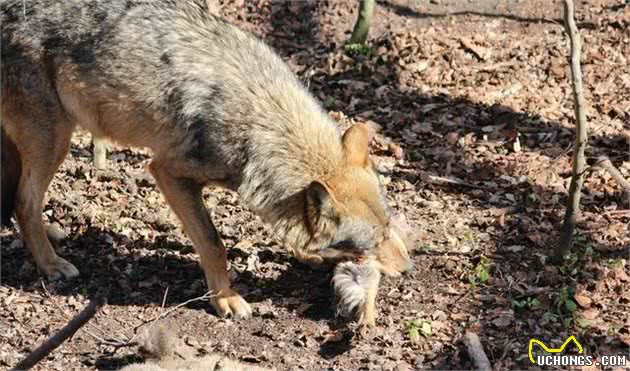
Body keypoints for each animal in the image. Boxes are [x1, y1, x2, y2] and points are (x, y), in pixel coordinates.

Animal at [1, 0, 414, 324]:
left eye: (388, 227)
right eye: (373, 243)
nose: (408, 267)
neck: (263, 117)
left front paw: (304, 252)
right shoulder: (168, 172)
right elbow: (214, 244)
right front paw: (225, 299)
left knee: (21, 196)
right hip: (55, 139)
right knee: (25, 200)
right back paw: (51, 264)